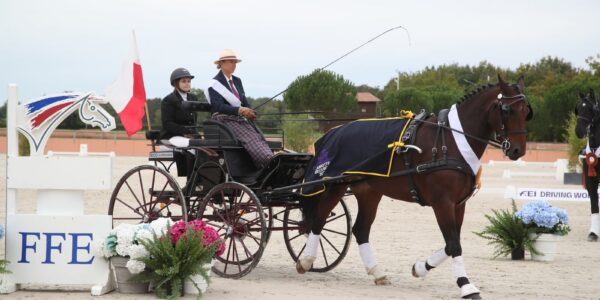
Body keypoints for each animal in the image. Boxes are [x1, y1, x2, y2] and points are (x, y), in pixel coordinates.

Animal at [296, 74, 528, 298]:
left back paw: (377, 272)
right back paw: (306, 261)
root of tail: (333, 132)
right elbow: (454, 244)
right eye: (507, 110)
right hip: (335, 185)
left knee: (360, 229)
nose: (518, 151)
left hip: (369, 191)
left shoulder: (458, 204)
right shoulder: (442, 203)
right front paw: (466, 286)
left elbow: (451, 243)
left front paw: (420, 267)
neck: (451, 141)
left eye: (526, 111)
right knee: (319, 220)